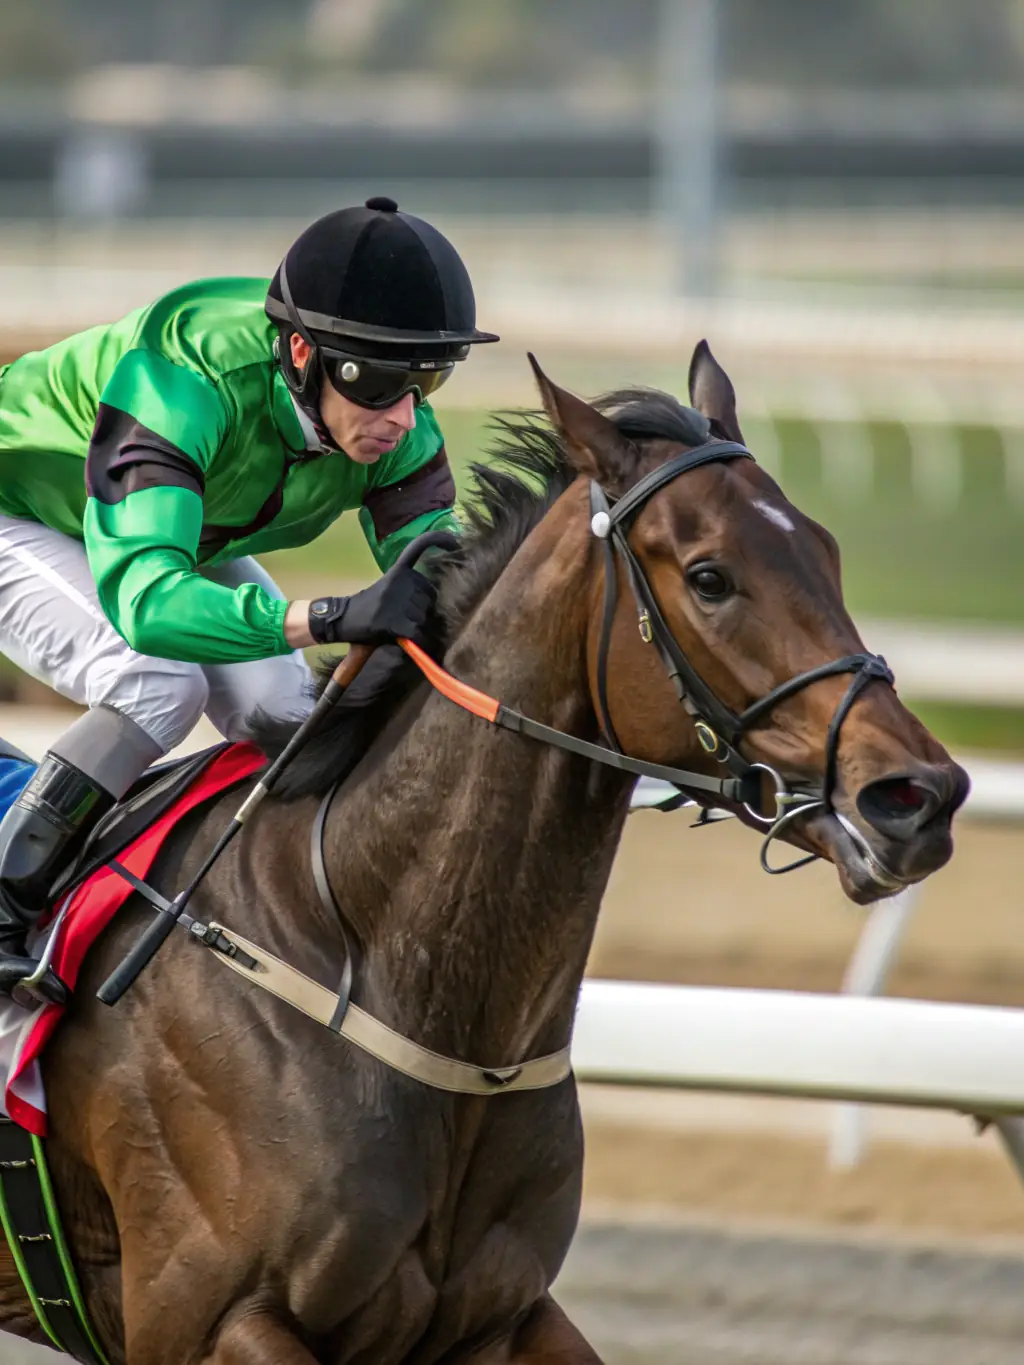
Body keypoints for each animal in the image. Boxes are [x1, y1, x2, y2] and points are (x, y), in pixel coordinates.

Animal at [0, 344, 967, 1365]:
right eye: (710, 577)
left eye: (826, 551)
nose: (918, 795)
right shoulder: (206, 1321)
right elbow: (150, 590)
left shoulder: (504, 1314)